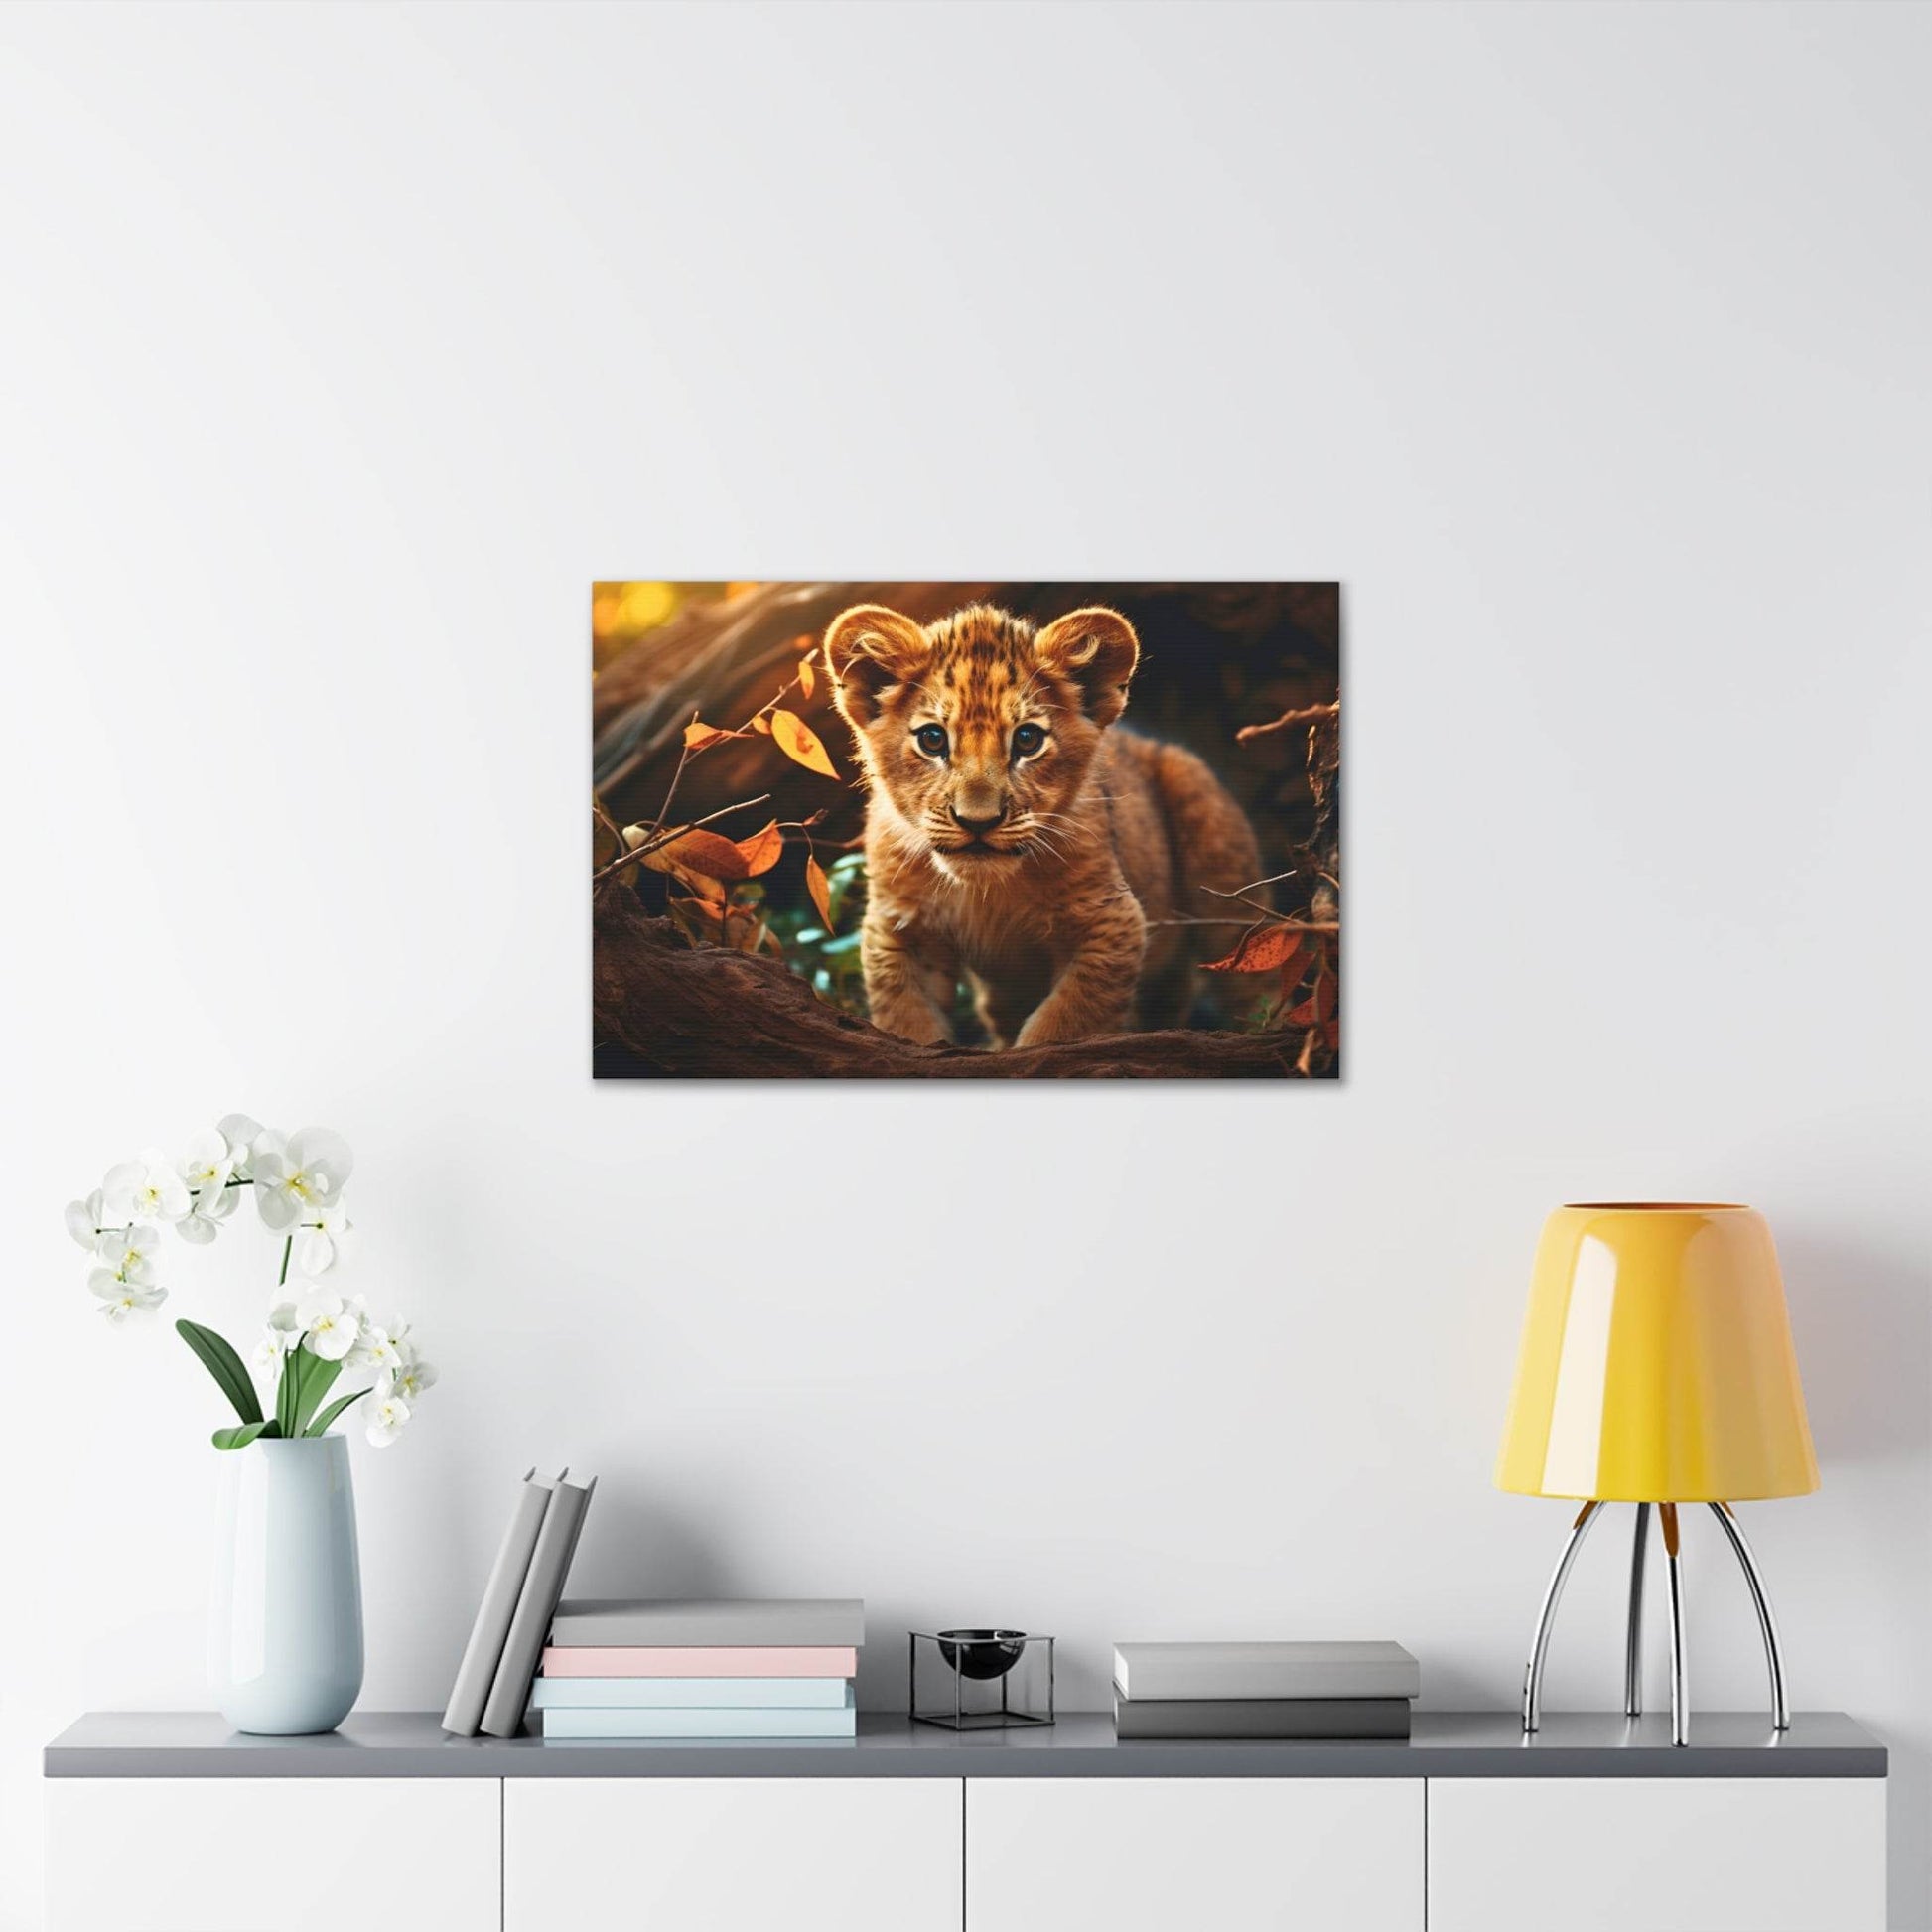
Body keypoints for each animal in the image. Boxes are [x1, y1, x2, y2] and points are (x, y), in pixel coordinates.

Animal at [824, 601, 1264, 1049]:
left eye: (1027, 740)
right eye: (932, 739)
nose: (978, 821)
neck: (986, 892)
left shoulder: (1111, 921)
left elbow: (1061, 1023)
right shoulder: (899, 931)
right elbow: (908, 1020)